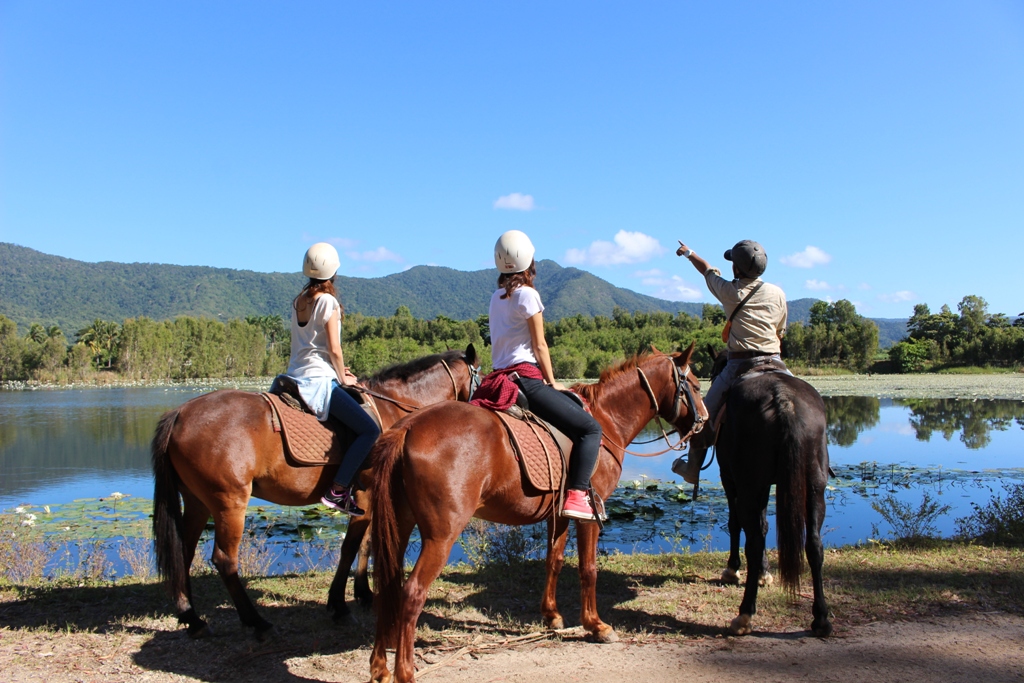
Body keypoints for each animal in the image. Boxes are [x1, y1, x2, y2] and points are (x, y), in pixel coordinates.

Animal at [151, 348, 479, 643]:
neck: (394, 410)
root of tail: (179, 413)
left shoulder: (373, 500)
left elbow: (366, 544)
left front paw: (363, 593)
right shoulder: (365, 498)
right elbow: (351, 547)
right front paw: (338, 604)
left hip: (197, 502)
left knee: (184, 552)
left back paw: (192, 618)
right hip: (229, 504)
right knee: (224, 560)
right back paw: (256, 622)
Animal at [372, 348, 708, 683]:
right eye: (694, 385)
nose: (704, 421)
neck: (607, 418)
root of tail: (407, 428)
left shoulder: (558, 515)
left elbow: (554, 560)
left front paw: (552, 615)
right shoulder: (590, 514)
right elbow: (588, 569)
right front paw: (595, 625)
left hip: (400, 528)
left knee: (387, 588)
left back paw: (380, 667)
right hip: (441, 536)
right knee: (412, 593)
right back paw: (404, 671)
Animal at [712, 350, 831, 638]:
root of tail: (784, 400)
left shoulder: (730, 479)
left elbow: (736, 524)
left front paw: (733, 569)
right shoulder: (764, 485)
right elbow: (764, 525)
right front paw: (764, 574)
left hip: (748, 485)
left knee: (753, 540)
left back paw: (744, 615)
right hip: (814, 487)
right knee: (814, 544)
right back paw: (821, 619)